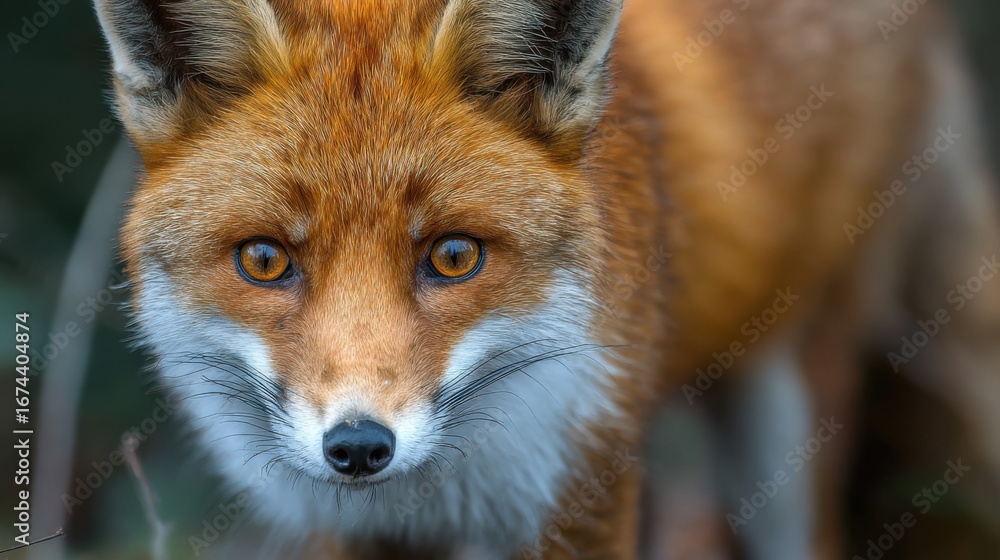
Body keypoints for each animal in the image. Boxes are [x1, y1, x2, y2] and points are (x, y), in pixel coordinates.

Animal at [94, 0, 1000, 558]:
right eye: (265, 260)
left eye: (453, 256)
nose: (358, 448)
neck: (440, 494)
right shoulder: (348, 530)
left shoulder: (584, 496)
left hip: (786, 413)